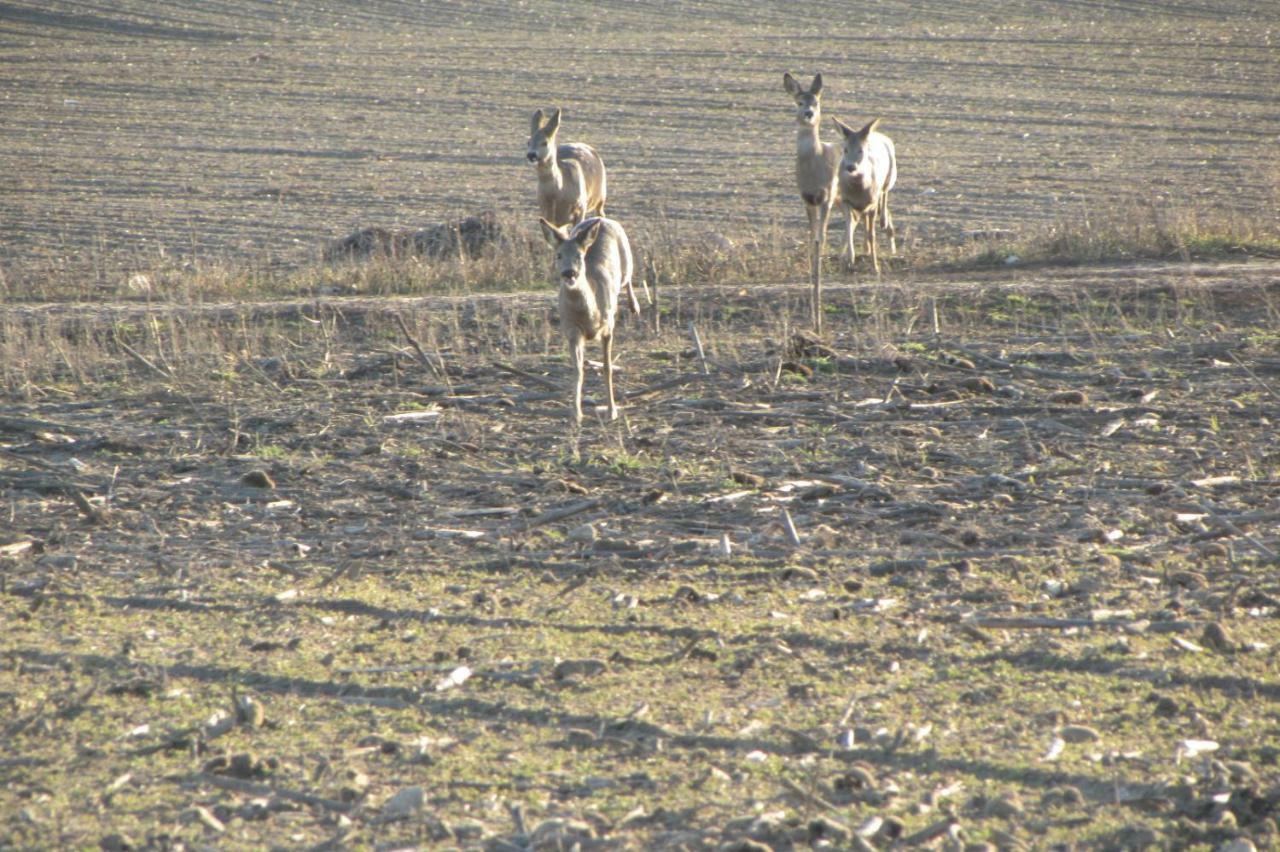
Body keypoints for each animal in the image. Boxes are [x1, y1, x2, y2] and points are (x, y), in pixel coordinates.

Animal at [537, 213, 632, 422]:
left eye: (579, 256)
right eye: (558, 255)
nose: (569, 273)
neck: (589, 314)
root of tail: (601, 218)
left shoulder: (608, 327)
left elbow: (607, 368)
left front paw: (612, 411)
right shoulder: (571, 329)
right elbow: (578, 370)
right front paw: (576, 413)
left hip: (627, 260)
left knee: (629, 279)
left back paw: (634, 305)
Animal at [829, 117, 901, 272]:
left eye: (860, 150)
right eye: (845, 149)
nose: (850, 167)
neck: (859, 189)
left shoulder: (872, 203)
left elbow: (871, 235)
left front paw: (875, 267)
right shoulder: (846, 200)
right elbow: (850, 228)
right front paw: (850, 259)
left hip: (891, 175)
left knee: (884, 194)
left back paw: (884, 221)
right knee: (861, 219)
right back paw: (863, 248)